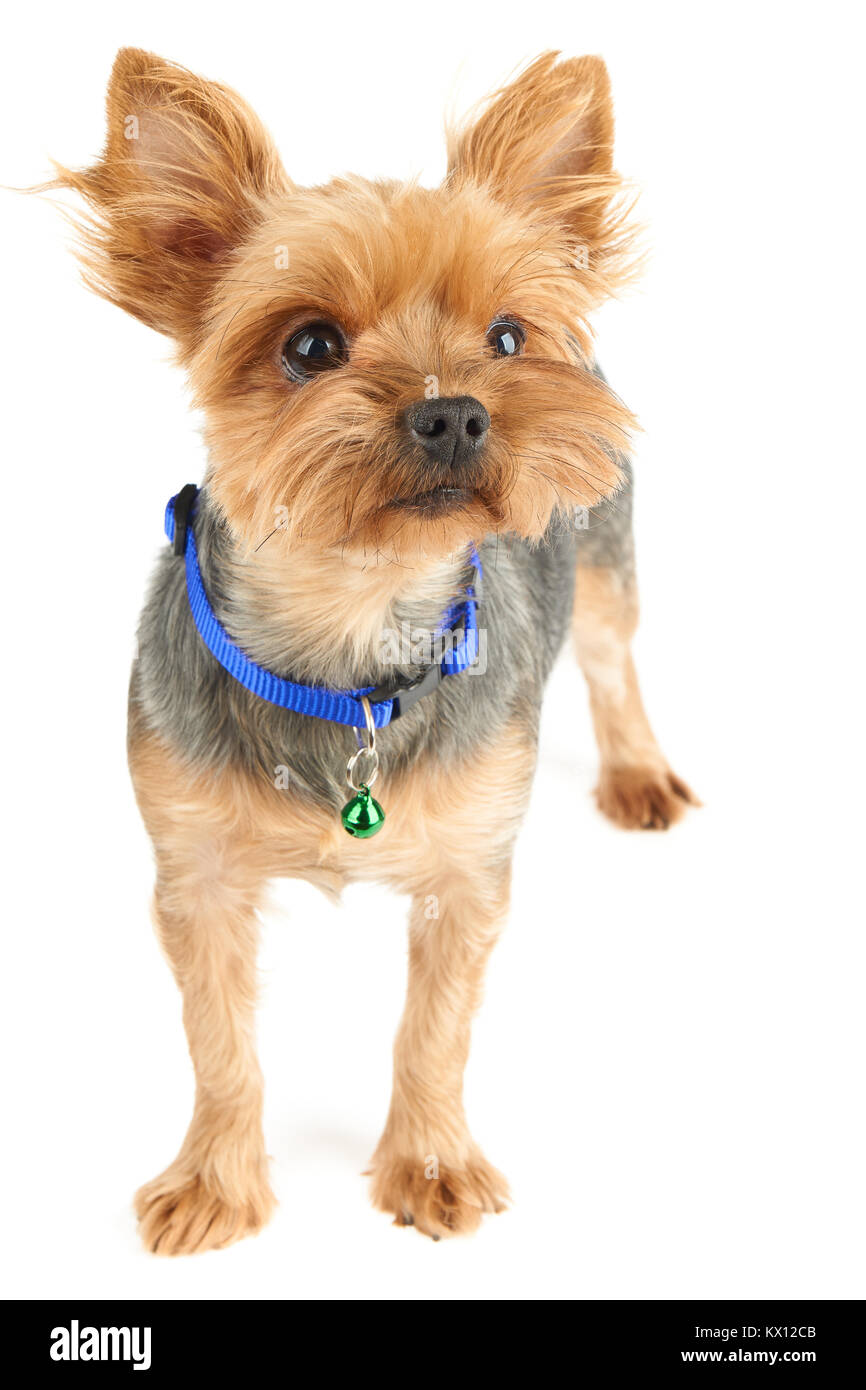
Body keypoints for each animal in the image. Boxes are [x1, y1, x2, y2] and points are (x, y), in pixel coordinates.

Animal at [55, 48, 697, 1256]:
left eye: (506, 336)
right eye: (309, 345)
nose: (455, 411)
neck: (353, 632)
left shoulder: (468, 875)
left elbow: (433, 1032)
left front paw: (430, 1164)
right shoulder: (194, 874)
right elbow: (219, 1042)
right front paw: (215, 1182)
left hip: (601, 547)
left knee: (609, 657)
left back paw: (637, 771)